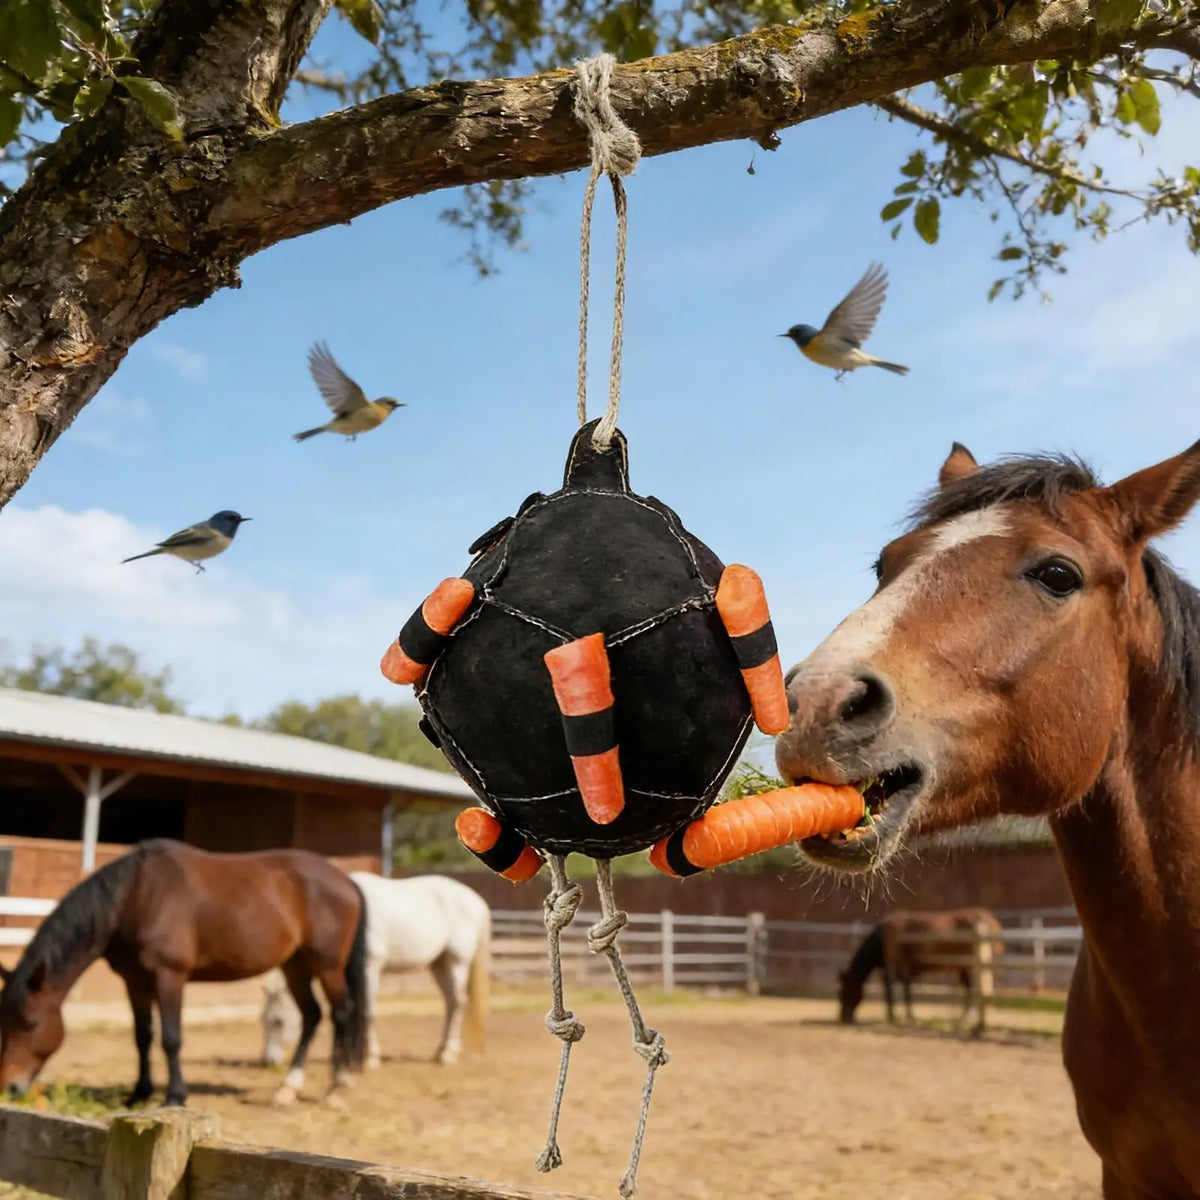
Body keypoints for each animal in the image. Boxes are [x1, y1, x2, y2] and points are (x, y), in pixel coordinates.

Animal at [0, 839, 368, 1108]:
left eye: (30, 1023)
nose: (9, 1086)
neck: (136, 895)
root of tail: (347, 880)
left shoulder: (170, 976)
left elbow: (171, 1038)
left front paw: (174, 1097)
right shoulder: (135, 982)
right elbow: (143, 1037)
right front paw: (139, 1093)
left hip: (328, 966)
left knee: (341, 1013)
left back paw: (336, 1087)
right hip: (295, 965)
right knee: (312, 1015)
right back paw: (288, 1088)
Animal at [261, 872, 490, 1070]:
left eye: (278, 1021)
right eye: (264, 1019)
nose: (268, 1061)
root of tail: (477, 900)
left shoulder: (369, 967)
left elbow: (367, 1010)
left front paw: (370, 1058)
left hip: (456, 961)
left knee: (459, 1002)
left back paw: (448, 1055)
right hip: (439, 964)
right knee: (450, 1002)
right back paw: (439, 1051)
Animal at [837, 907, 1002, 1030]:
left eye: (845, 991)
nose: (843, 1017)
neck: (883, 937)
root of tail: (989, 919)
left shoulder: (900, 968)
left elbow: (901, 991)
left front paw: (900, 1016)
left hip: (970, 966)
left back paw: (970, 1015)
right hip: (965, 967)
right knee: (969, 987)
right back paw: (966, 1015)